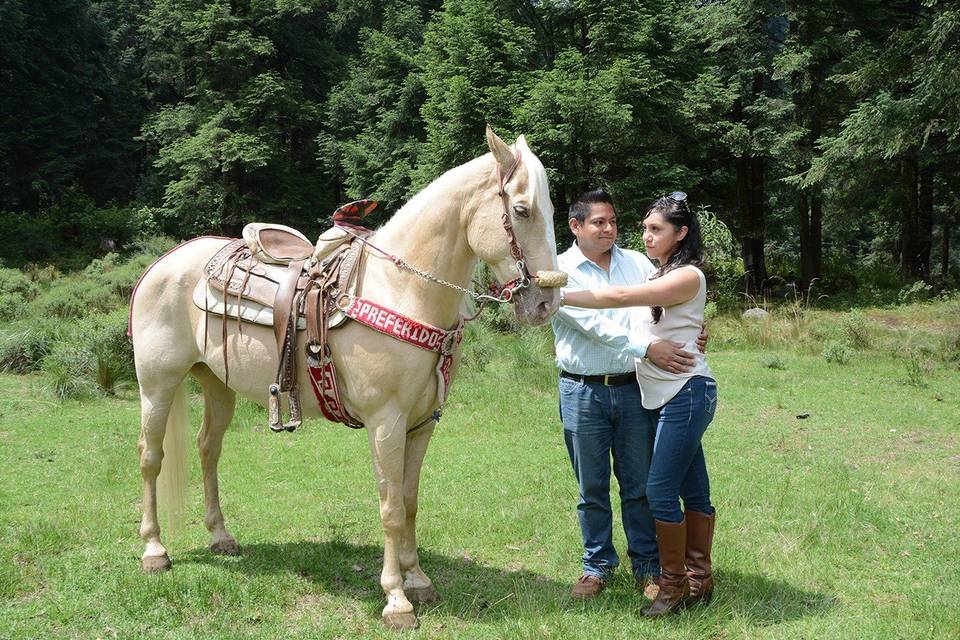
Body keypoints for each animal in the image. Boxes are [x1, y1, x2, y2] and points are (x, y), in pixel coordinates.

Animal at [131, 126, 560, 632]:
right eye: (522, 210)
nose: (546, 305)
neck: (401, 289)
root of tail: (163, 263)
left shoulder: (422, 423)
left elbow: (410, 500)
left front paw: (418, 579)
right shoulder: (386, 422)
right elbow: (390, 508)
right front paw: (397, 599)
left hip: (217, 383)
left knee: (207, 449)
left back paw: (221, 536)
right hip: (157, 384)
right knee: (151, 456)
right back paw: (154, 550)